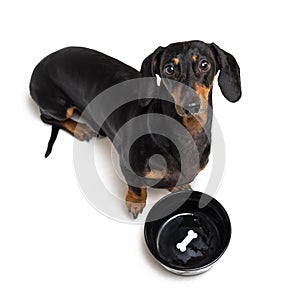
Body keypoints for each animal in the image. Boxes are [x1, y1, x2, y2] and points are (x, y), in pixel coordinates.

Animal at [29, 41, 241, 218]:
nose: (191, 106)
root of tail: (40, 63)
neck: (186, 132)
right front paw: (135, 203)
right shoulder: (128, 165)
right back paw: (81, 128)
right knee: (49, 118)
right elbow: (137, 187)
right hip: (57, 106)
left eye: (205, 64)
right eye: (169, 69)